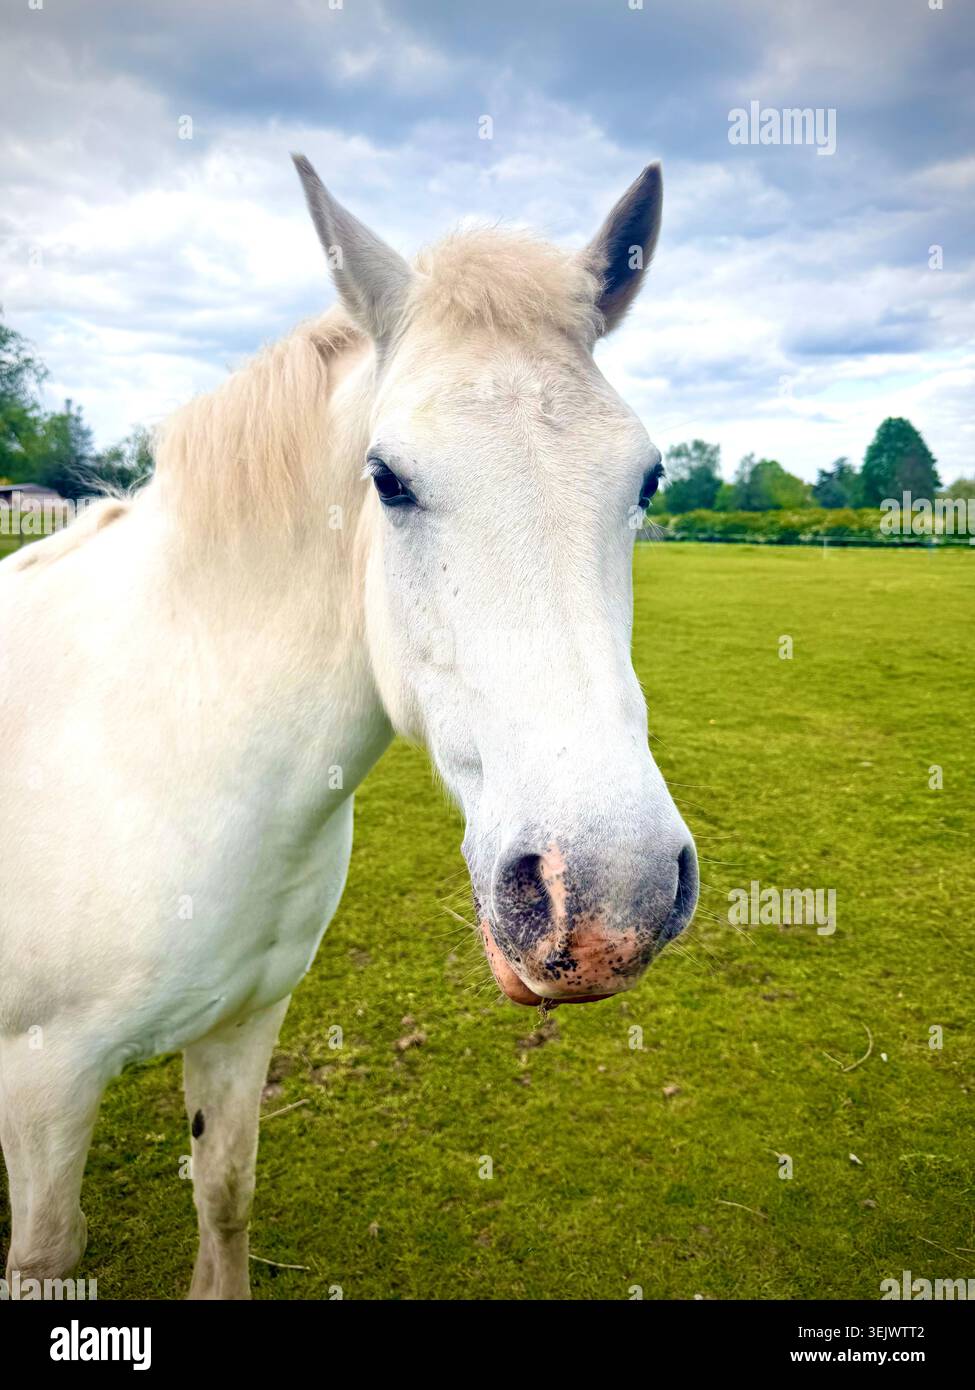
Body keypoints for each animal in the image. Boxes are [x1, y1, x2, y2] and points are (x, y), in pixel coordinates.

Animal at [0, 155, 698, 1299]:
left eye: (647, 479)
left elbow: (225, 1194)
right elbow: (49, 1253)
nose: (608, 898)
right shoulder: (44, 1082)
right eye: (387, 479)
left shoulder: (244, 1024)